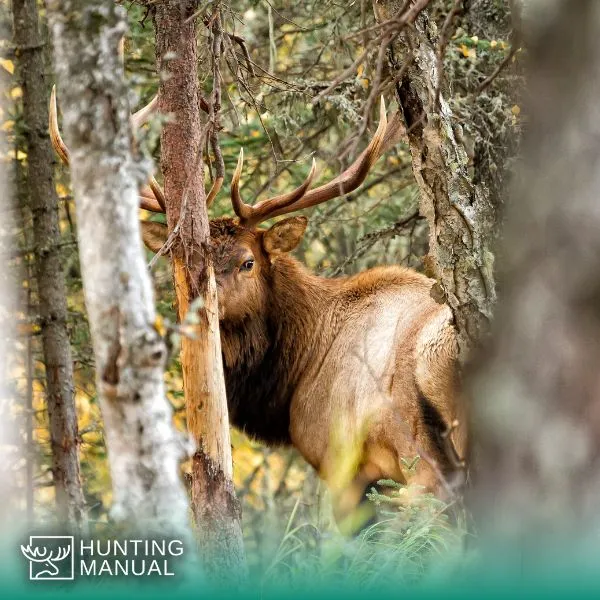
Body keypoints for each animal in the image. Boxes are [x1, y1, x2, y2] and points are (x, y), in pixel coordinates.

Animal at [50, 89, 464, 528]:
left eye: (248, 262)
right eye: (181, 262)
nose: (197, 311)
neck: (296, 371)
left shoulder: (342, 464)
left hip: (420, 456)